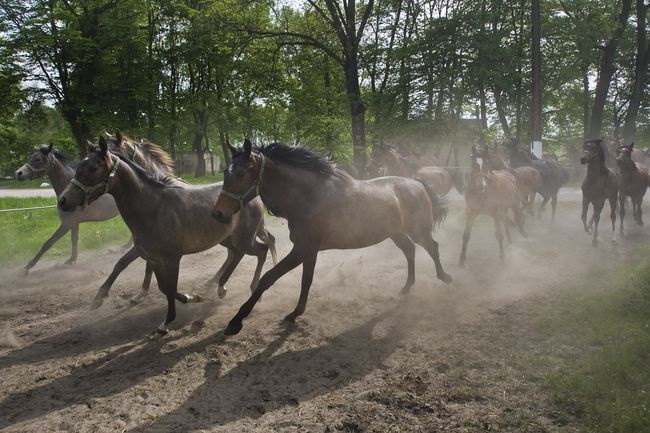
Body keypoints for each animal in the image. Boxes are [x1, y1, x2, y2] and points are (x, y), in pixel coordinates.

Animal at [57, 137, 274, 332]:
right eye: (79, 165)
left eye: (93, 168)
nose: (63, 200)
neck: (153, 207)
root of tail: (255, 196)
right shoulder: (152, 257)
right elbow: (161, 285)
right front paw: (190, 298)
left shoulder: (172, 258)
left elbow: (168, 287)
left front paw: (168, 321)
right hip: (228, 240)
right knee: (237, 254)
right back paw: (220, 288)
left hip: (244, 239)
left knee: (262, 250)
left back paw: (253, 289)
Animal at [213, 139, 450, 334]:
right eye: (225, 172)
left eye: (241, 173)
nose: (218, 213)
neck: (308, 197)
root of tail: (417, 183)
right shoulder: (308, 250)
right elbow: (305, 281)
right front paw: (295, 314)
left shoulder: (303, 248)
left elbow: (269, 278)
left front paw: (236, 321)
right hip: (395, 233)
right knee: (410, 250)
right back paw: (407, 287)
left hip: (418, 230)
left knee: (433, 247)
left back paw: (445, 277)